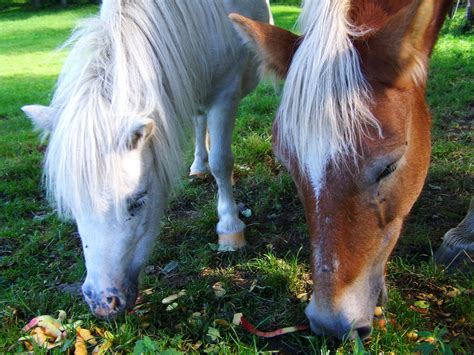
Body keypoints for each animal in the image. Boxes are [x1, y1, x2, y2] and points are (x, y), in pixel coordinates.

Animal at [22, 0, 272, 318]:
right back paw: (197, 165)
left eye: (137, 201)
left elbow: (221, 162)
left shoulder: (225, 96)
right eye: (75, 206)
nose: (103, 303)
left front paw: (230, 229)